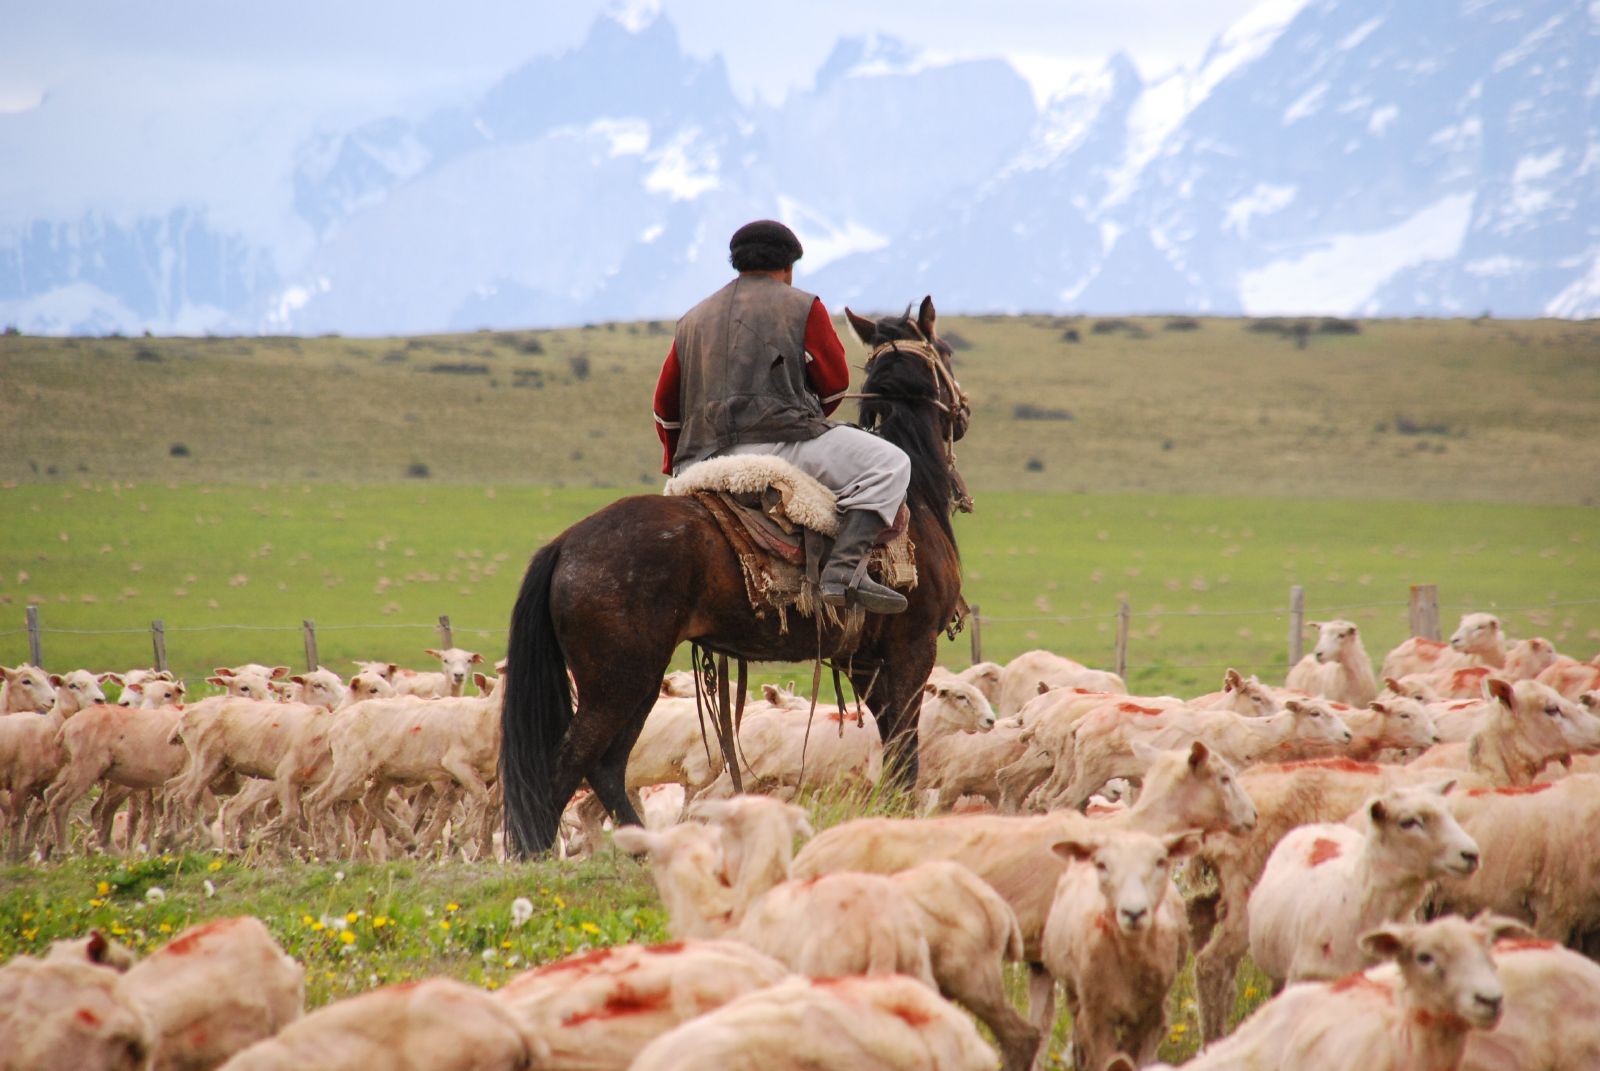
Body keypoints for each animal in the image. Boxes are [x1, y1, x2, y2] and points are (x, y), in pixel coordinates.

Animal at [499, 292, 966, 851]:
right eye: (946, 351)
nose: (963, 413)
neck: (916, 498)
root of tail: (566, 544)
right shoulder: (912, 650)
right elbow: (906, 754)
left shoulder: (865, 661)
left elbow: (895, 752)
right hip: (615, 683)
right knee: (566, 769)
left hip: (638, 680)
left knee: (606, 768)